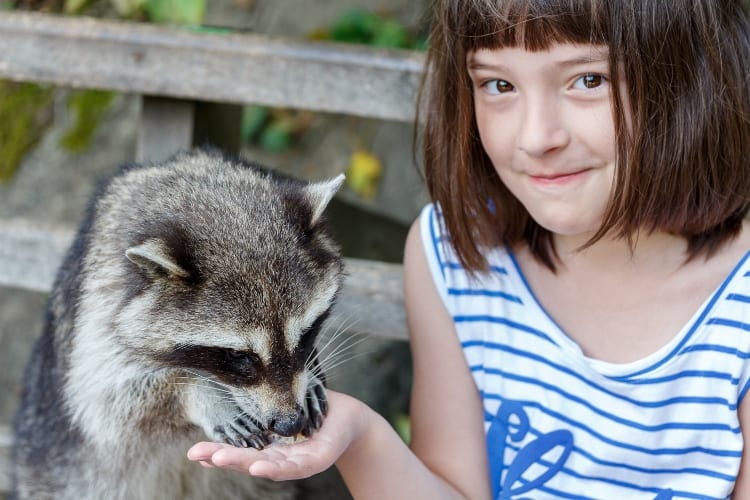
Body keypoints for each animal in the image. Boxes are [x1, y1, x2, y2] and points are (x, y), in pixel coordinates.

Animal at [11, 151, 352, 500]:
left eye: (305, 334)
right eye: (239, 356)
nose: (289, 424)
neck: (198, 191)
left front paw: (309, 372)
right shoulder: (99, 310)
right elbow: (109, 402)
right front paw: (197, 392)